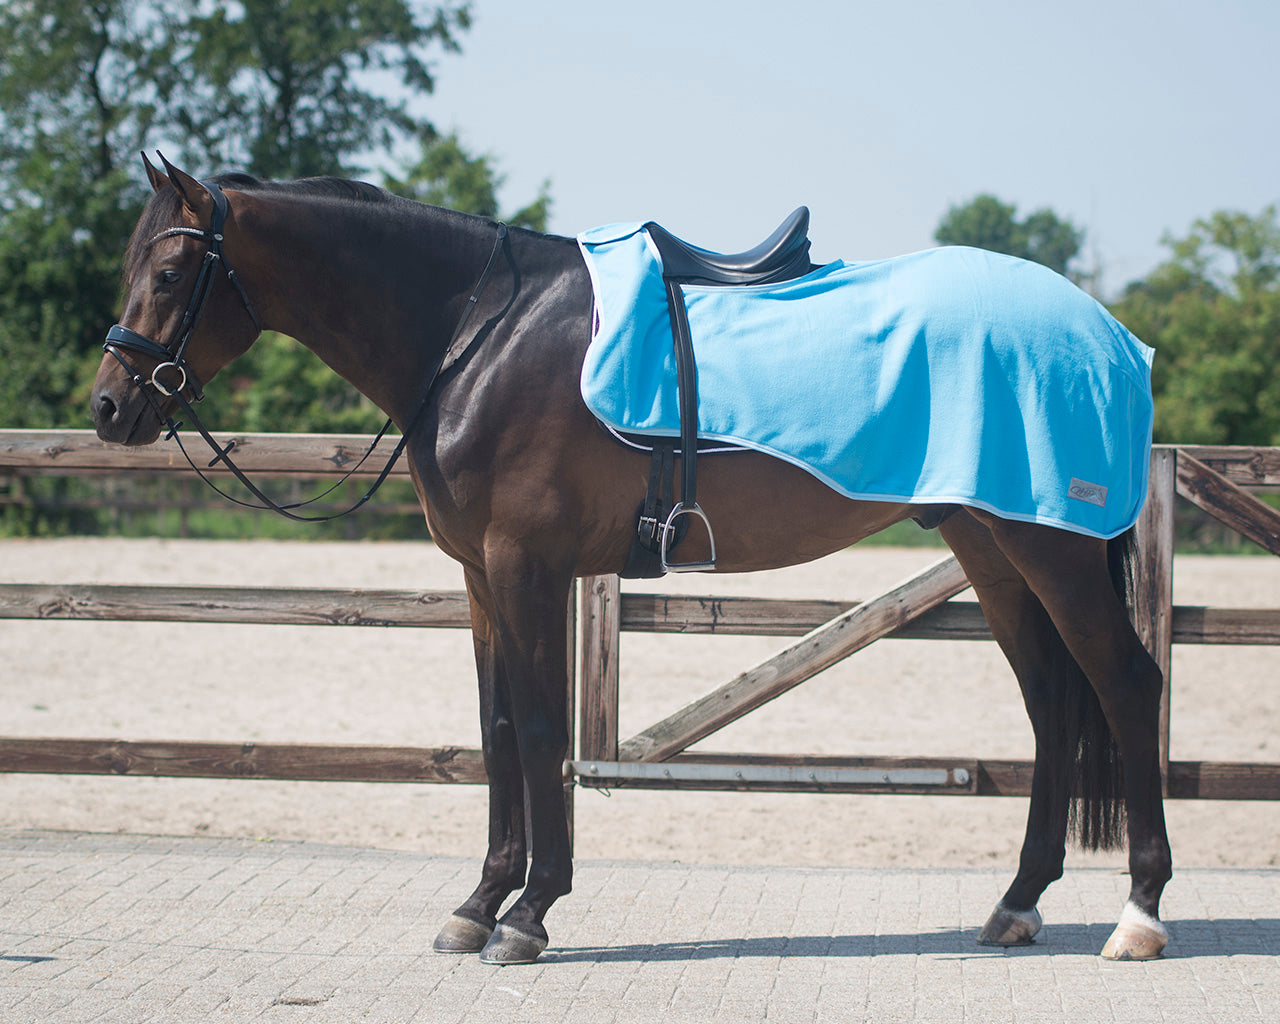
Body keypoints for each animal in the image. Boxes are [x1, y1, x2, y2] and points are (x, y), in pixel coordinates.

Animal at [90, 155, 1171, 965]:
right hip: (989, 545)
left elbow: (536, 730)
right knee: (1049, 703)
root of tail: (1107, 335)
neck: (475, 334)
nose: (108, 406)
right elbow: (494, 732)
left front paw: (529, 914)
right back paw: (1017, 903)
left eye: (173, 271)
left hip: (1050, 548)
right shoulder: (480, 579)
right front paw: (477, 905)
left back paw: (1139, 914)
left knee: (1124, 684)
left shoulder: (526, 567)